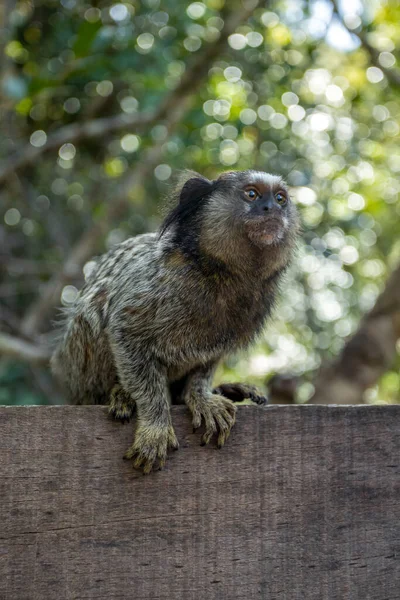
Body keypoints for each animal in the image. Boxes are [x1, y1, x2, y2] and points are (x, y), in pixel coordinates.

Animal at [50, 170, 300, 474]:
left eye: (280, 198)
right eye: (252, 194)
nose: (272, 209)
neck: (219, 272)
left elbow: (206, 363)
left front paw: (201, 396)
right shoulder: (150, 288)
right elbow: (125, 333)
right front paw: (155, 424)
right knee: (95, 307)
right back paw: (118, 394)